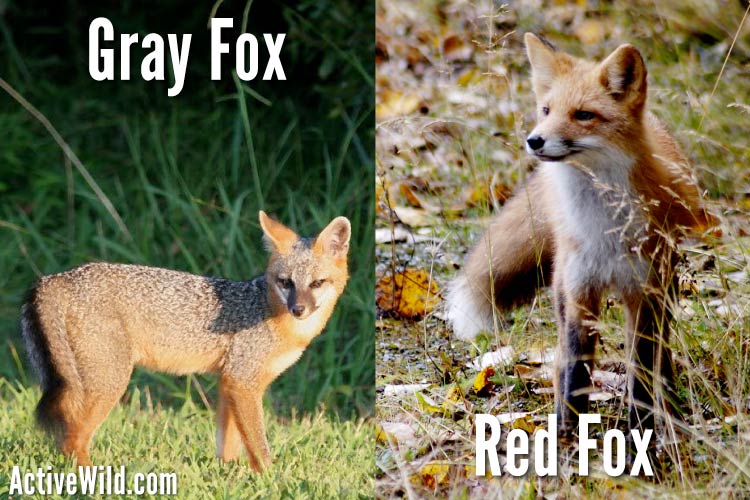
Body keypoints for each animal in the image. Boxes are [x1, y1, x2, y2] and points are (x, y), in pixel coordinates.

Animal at [21, 211, 351, 471]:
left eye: (317, 283)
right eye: (286, 282)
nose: (298, 309)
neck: (267, 310)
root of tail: (58, 277)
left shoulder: (229, 382)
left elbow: (228, 442)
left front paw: (228, 474)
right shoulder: (243, 382)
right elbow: (258, 445)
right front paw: (270, 478)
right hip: (109, 384)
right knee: (71, 441)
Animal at [446, 34, 714, 442]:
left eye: (583, 115)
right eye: (545, 110)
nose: (534, 140)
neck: (601, 228)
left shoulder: (643, 293)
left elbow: (641, 370)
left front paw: (641, 435)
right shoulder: (579, 293)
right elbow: (574, 375)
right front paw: (566, 439)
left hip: (663, 288)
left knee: (661, 353)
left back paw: (669, 402)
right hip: (563, 288)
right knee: (561, 361)